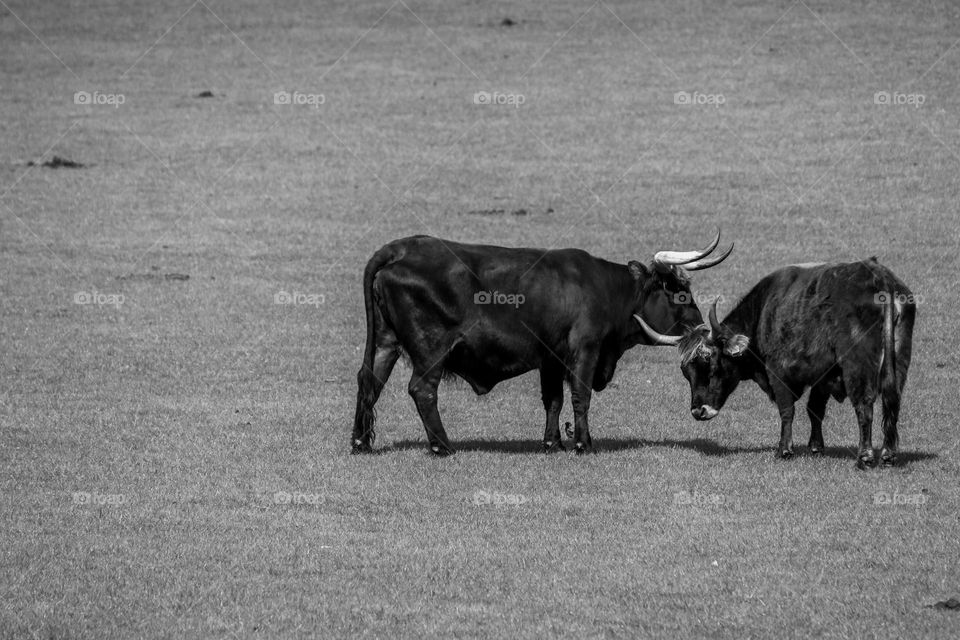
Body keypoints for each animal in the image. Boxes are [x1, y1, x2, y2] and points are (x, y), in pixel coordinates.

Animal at [352, 231, 736, 456]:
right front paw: (583, 443)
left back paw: (360, 442)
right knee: (422, 389)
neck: (604, 288)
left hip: (385, 343)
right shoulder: (585, 351)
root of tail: (400, 248)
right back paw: (442, 446)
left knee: (369, 382)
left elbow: (553, 399)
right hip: (430, 349)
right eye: (678, 293)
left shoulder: (550, 358)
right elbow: (580, 396)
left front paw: (553, 442)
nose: (701, 327)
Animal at [644, 258, 916, 464]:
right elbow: (814, 409)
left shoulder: (779, 373)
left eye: (710, 364)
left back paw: (865, 456)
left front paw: (784, 449)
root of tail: (879, 276)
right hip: (899, 362)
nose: (698, 411)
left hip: (857, 366)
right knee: (892, 401)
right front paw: (816, 447)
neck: (763, 312)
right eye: (686, 373)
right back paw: (888, 454)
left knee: (864, 405)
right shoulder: (823, 374)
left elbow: (787, 410)